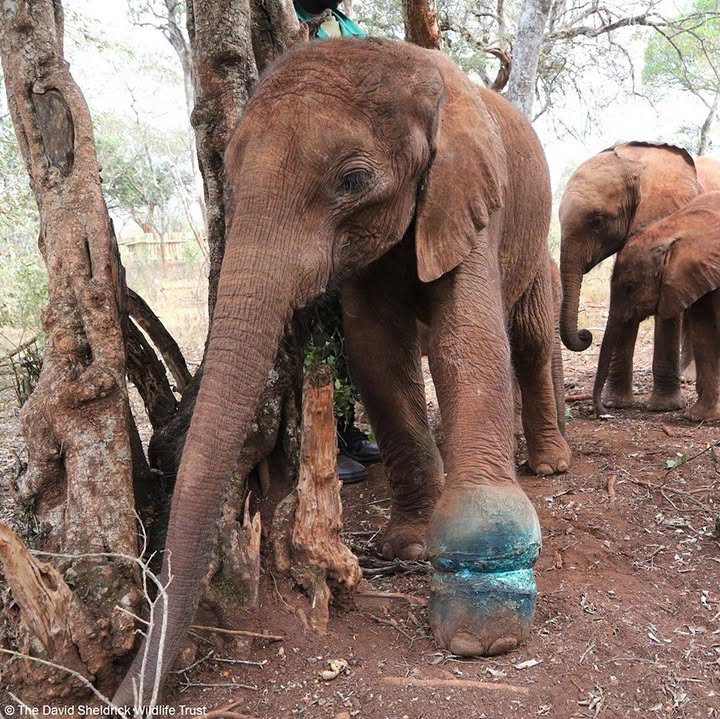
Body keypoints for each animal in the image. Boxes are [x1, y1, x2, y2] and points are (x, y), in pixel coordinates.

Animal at [113, 37, 571, 702]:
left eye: (353, 182)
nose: (122, 695)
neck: (418, 70)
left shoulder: (470, 199)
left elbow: (466, 342)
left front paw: (481, 632)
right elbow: (375, 349)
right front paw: (409, 543)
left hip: (537, 232)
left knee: (531, 337)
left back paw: (551, 464)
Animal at [594, 191, 720, 421]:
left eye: (629, 287)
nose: (605, 413)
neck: (673, 228)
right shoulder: (698, 275)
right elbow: (704, 331)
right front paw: (699, 417)